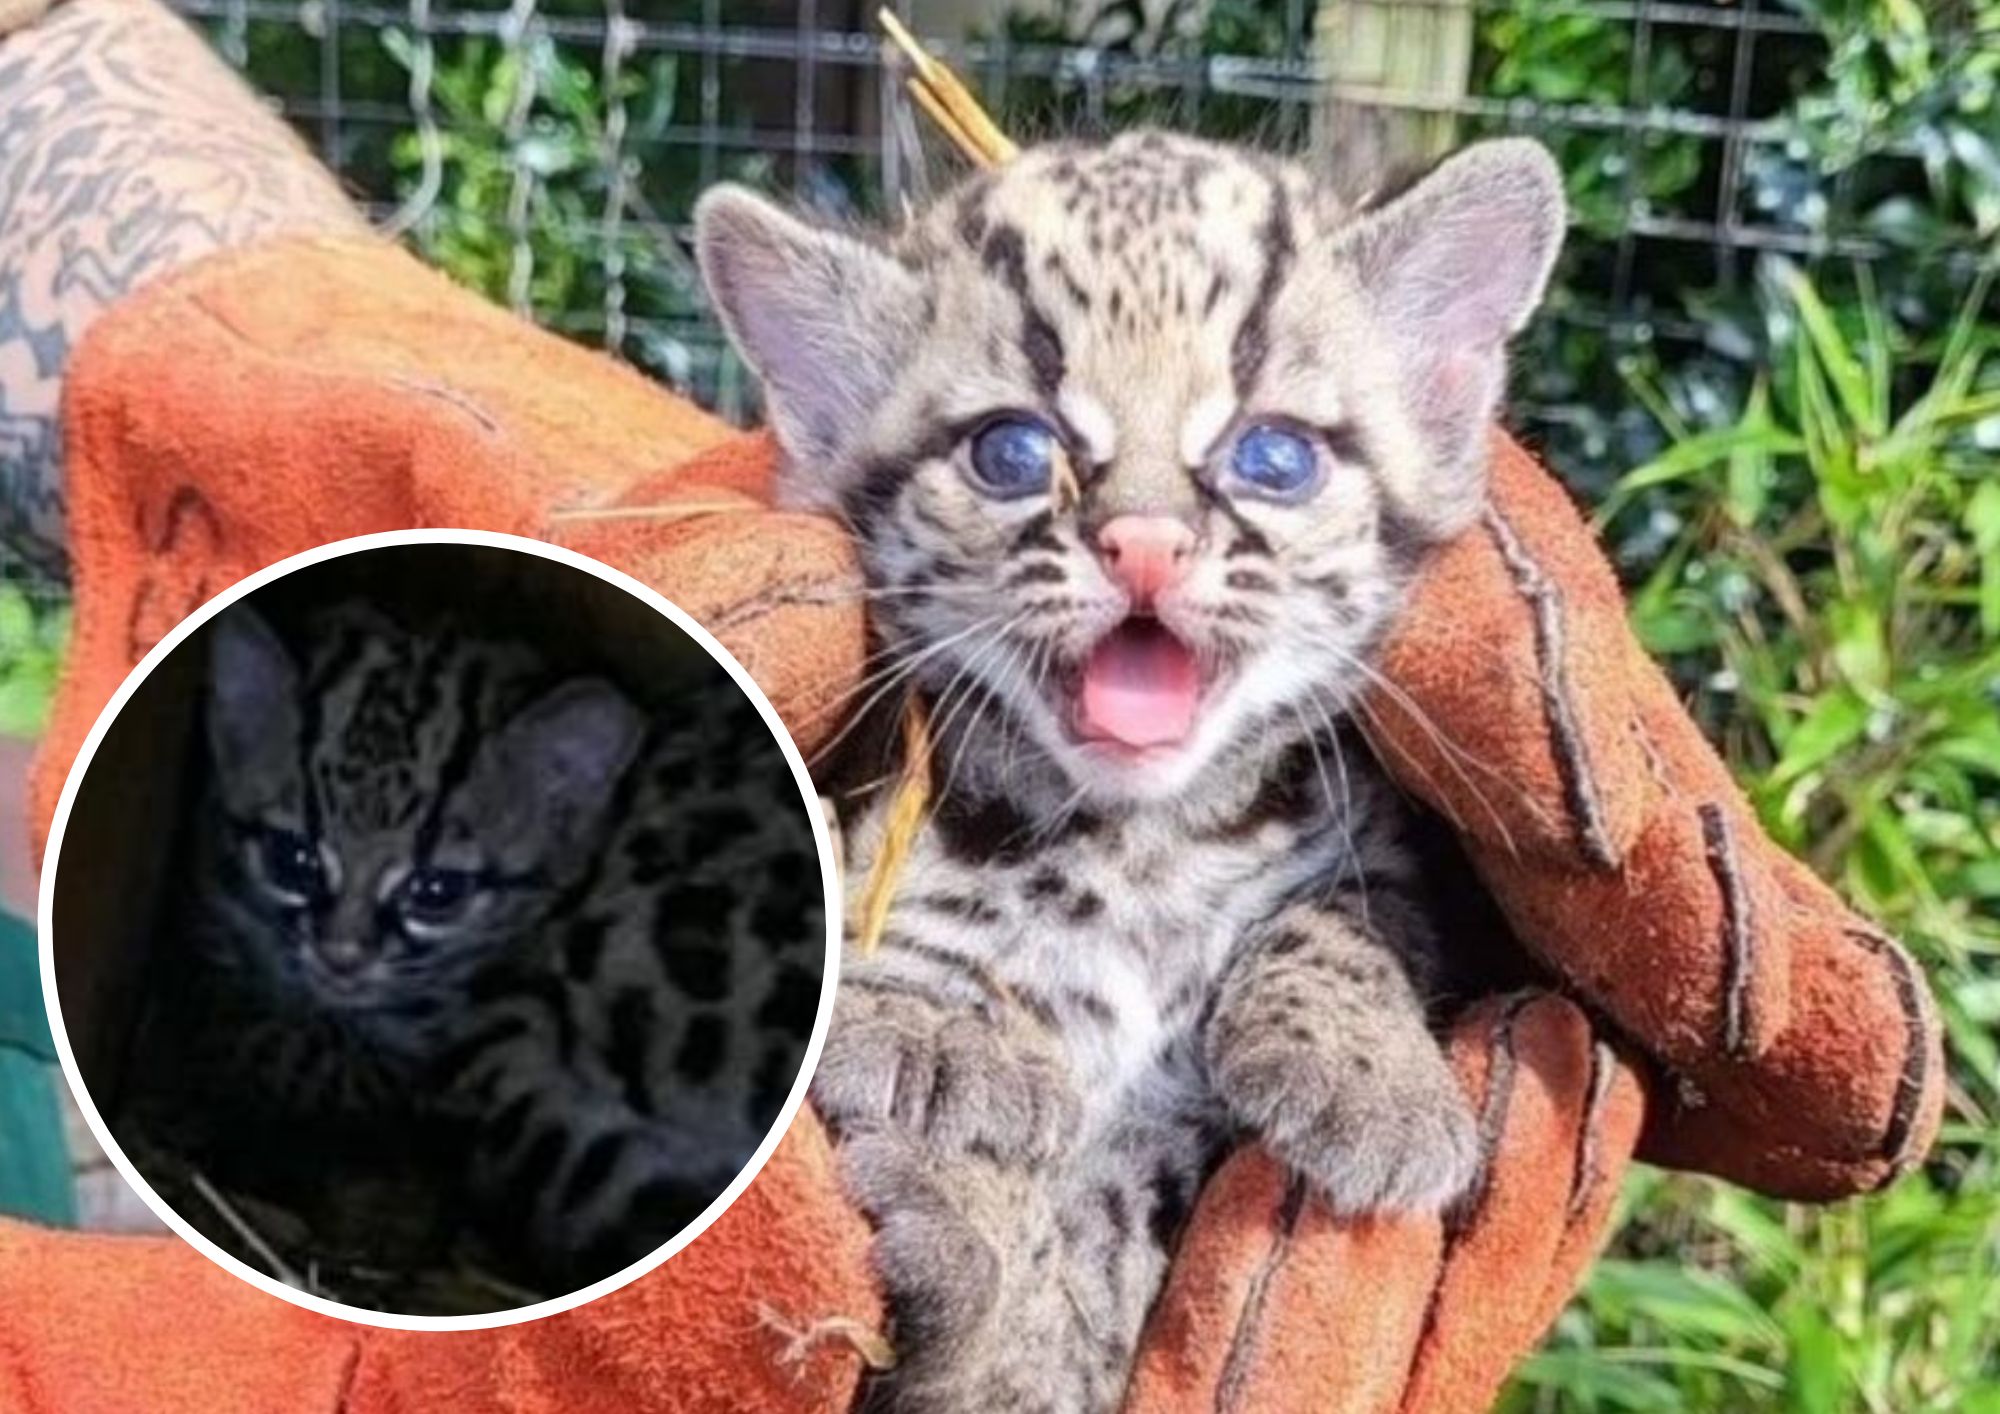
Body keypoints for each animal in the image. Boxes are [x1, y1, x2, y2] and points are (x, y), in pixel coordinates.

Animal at [700, 127, 1560, 1408]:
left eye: (1273, 456)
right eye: (1012, 451)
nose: (1145, 544)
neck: (1141, 840)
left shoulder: (1396, 857)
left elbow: (1343, 918)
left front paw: (1371, 1073)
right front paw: (927, 1017)